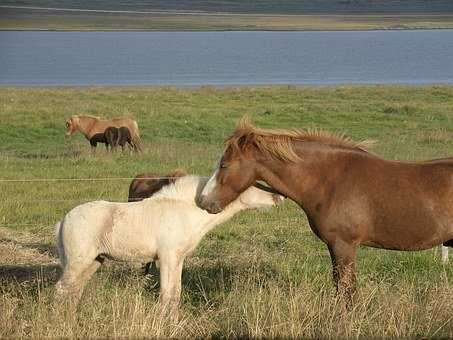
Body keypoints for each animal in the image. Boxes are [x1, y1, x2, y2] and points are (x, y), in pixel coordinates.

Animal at [55, 175, 282, 314]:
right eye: (254, 185)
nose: (277, 196)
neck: (187, 211)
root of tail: (64, 220)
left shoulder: (178, 260)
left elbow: (175, 293)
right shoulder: (166, 258)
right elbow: (166, 294)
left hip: (94, 261)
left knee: (74, 290)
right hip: (78, 262)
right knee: (61, 290)